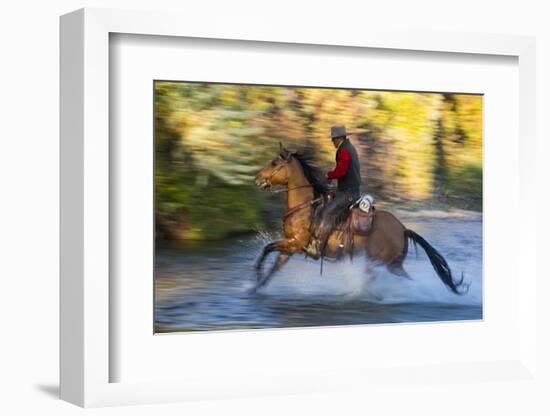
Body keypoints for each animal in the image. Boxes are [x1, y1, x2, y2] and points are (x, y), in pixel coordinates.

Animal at [252, 145, 468, 294]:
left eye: (274, 163)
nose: (257, 178)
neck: (305, 207)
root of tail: (403, 229)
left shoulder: (296, 243)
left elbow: (267, 248)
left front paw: (256, 272)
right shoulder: (290, 246)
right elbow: (274, 265)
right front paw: (256, 286)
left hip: (378, 262)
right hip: (393, 264)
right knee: (405, 279)